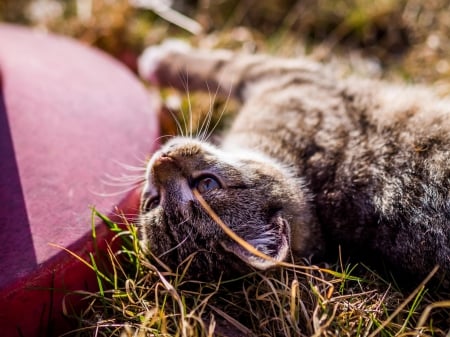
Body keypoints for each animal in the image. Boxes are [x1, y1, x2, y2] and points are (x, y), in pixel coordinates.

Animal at [137, 40, 450, 282]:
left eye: (206, 185)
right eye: (154, 201)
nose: (162, 159)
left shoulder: (286, 78)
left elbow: (225, 65)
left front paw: (163, 60)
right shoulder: (290, 78)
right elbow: (227, 65)